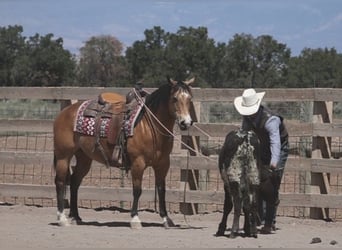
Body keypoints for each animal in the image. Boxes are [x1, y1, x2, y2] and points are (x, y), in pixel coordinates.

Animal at [52, 77, 194, 229]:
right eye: (174, 98)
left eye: (189, 98)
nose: (186, 122)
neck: (149, 127)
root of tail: (64, 113)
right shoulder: (138, 163)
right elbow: (137, 190)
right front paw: (135, 219)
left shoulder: (163, 164)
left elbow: (161, 190)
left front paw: (166, 219)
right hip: (63, 156)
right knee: (60, 182)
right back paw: (62, 219)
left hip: (84, 158)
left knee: (74, 182)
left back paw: (76, 217)